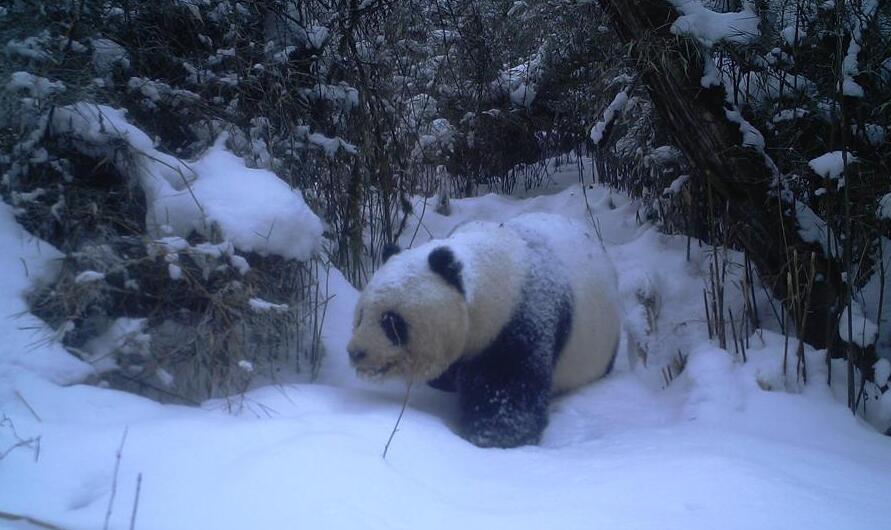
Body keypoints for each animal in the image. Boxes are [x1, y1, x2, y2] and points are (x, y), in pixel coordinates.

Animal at [346, 210, 620, 446]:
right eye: (361, 316)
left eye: (392, 322)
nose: (356, 352)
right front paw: (444, 382)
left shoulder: (526, 316)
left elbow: (509, 386)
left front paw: (493, 434)